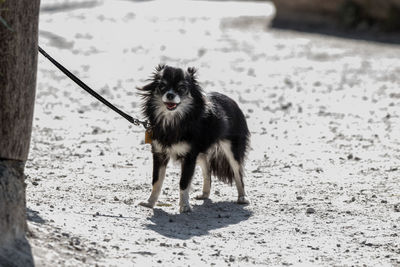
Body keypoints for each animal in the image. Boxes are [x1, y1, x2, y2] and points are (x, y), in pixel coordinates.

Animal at [139, 65, 248, 214]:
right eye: (162, 86)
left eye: (182, 88)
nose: (170, 94)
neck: (173, 121)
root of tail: (231, 100)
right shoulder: (160, 154)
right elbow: (156, 181)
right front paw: (150, 203)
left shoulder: (189, 157)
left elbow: (184, 182)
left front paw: (184, 206)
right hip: (200, 153)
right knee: (207, 169)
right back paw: (205, 194)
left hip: (232, 150)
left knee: (238, 172)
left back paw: (242, 197)